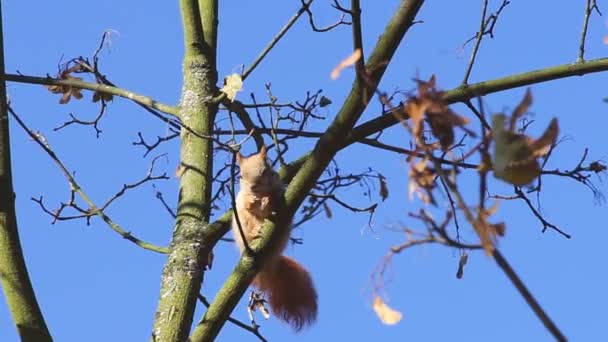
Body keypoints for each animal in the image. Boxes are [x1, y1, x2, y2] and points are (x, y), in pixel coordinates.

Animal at [233, 146, 318, 330]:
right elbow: (247, 205)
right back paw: (255, 231)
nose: (253, 187)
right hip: (242, 225)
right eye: (240, 176)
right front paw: (251, 201)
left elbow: (272, 200)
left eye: (266, 171)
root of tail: (270, 262)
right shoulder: (241, 200)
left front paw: (266, 200)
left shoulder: (279, 192)